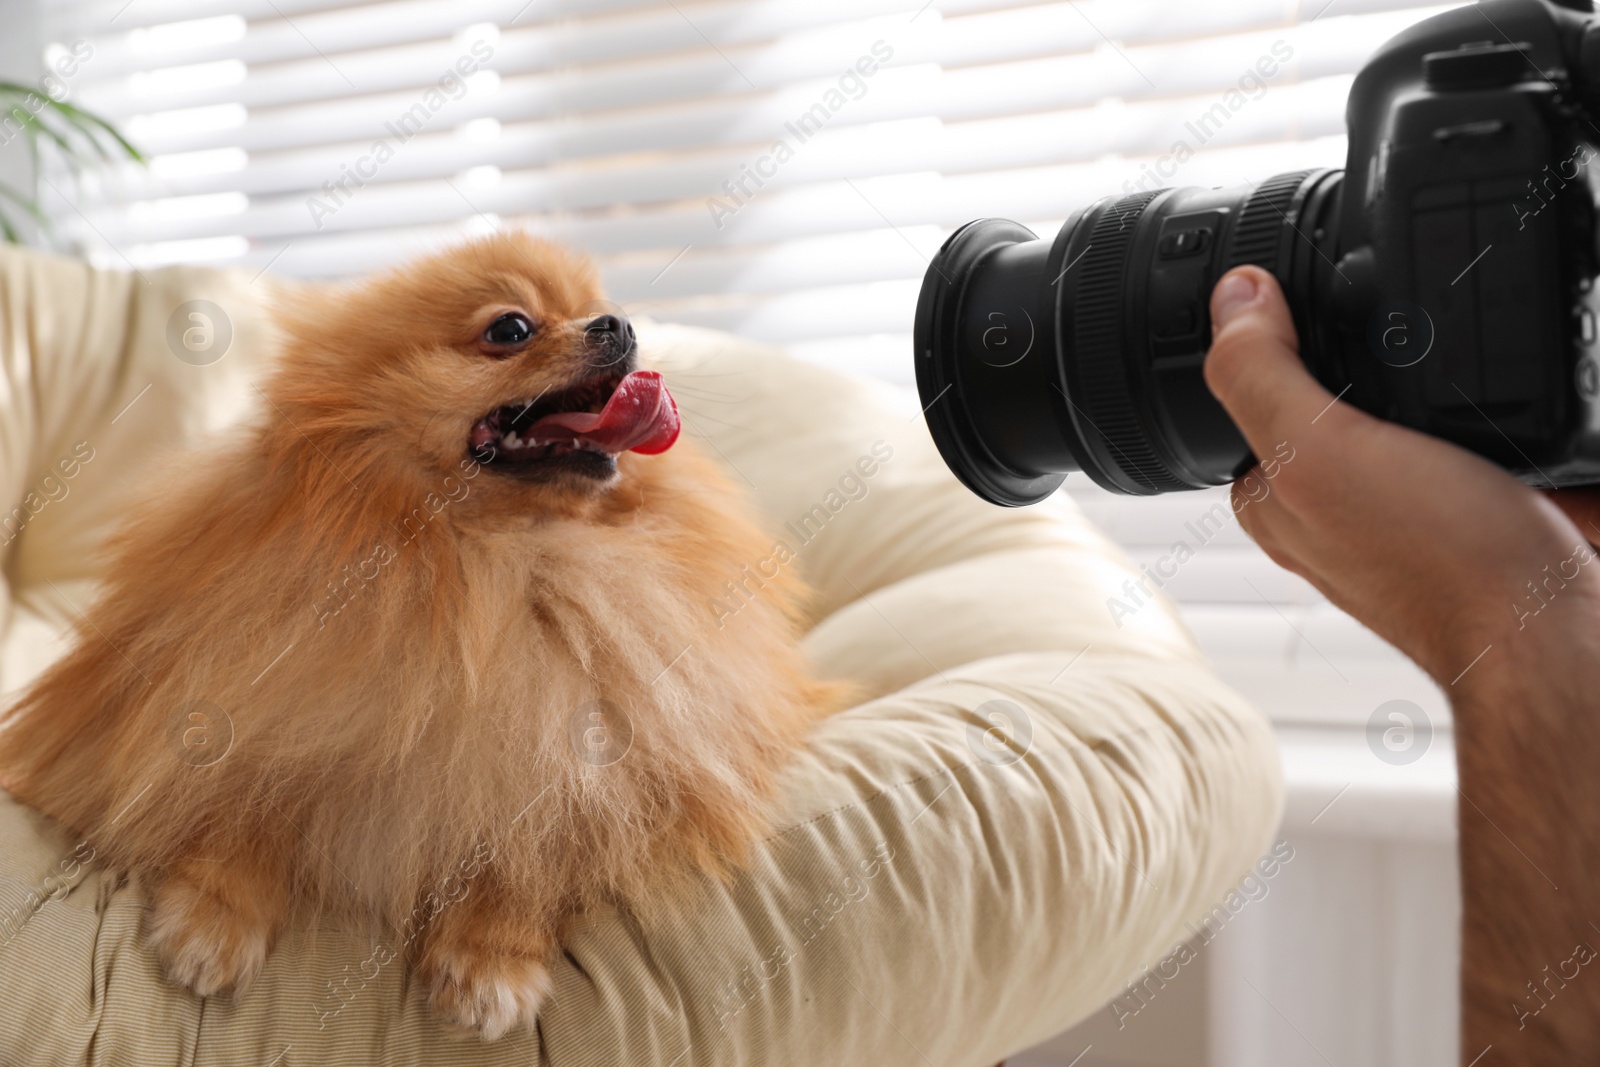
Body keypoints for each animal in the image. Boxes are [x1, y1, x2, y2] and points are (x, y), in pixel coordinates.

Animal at [0, 235, 844, 1043]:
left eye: (595, 308)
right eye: (511, 328)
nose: (620, 324)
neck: (482, 559)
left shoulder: (593, 768)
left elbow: (540, 845)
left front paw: (489, 956)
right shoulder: (243, 706)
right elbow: (248, 798)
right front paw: (215, 913)